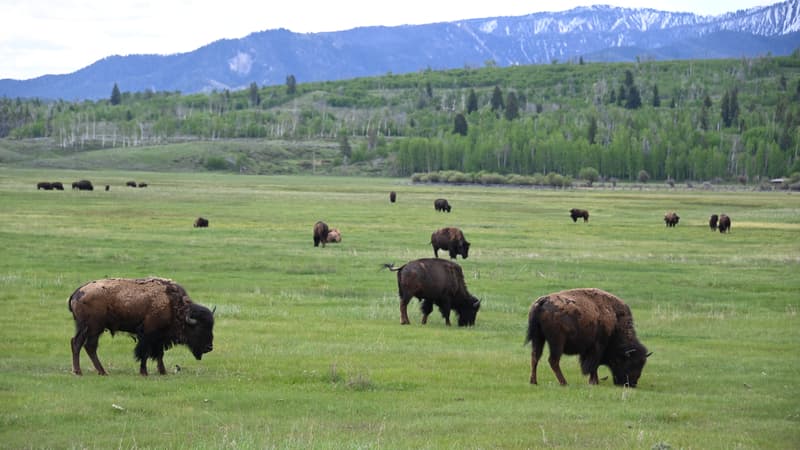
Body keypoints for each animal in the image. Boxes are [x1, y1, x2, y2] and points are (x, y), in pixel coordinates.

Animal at [68, 278, 216, 376]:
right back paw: (91, 371)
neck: (172, 305)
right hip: (93, 328)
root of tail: (78, 292)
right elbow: (144, 353)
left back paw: (90, 371)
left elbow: (159, 354)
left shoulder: (160, 338)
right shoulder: (148, 335)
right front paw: (144, 372)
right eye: (199, 328)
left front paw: (163, 372)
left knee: (80, 344)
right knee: (86, 345)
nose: (209, 348)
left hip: (87, 328)